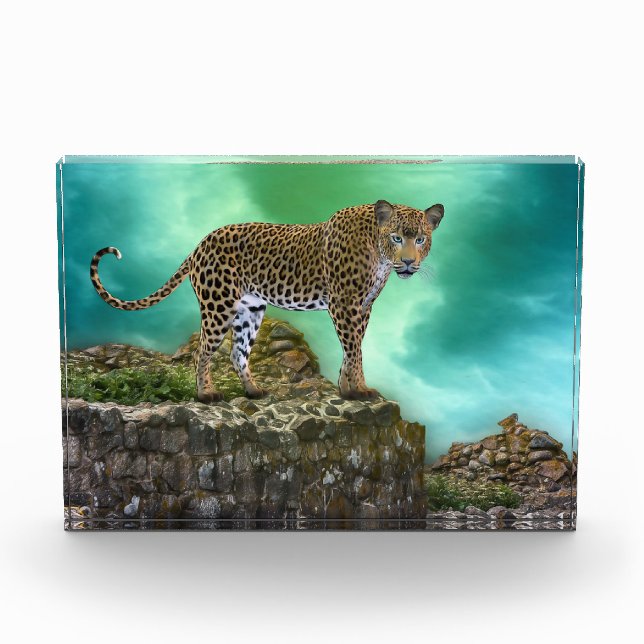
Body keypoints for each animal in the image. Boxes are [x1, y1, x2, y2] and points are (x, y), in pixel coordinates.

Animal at [90, 200, 444, 402]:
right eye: (397, 237)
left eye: (421, 239)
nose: (409, 262)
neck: (379, 253)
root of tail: (200, 243)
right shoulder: (345, 303)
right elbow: (355, 348)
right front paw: (359, 390)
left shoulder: (364, 306)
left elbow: (351, 348)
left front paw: (347, 389)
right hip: (218, 305)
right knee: (202, 351)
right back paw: (206, 394)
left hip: (251, 309)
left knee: (237, 352)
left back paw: (253, 391)